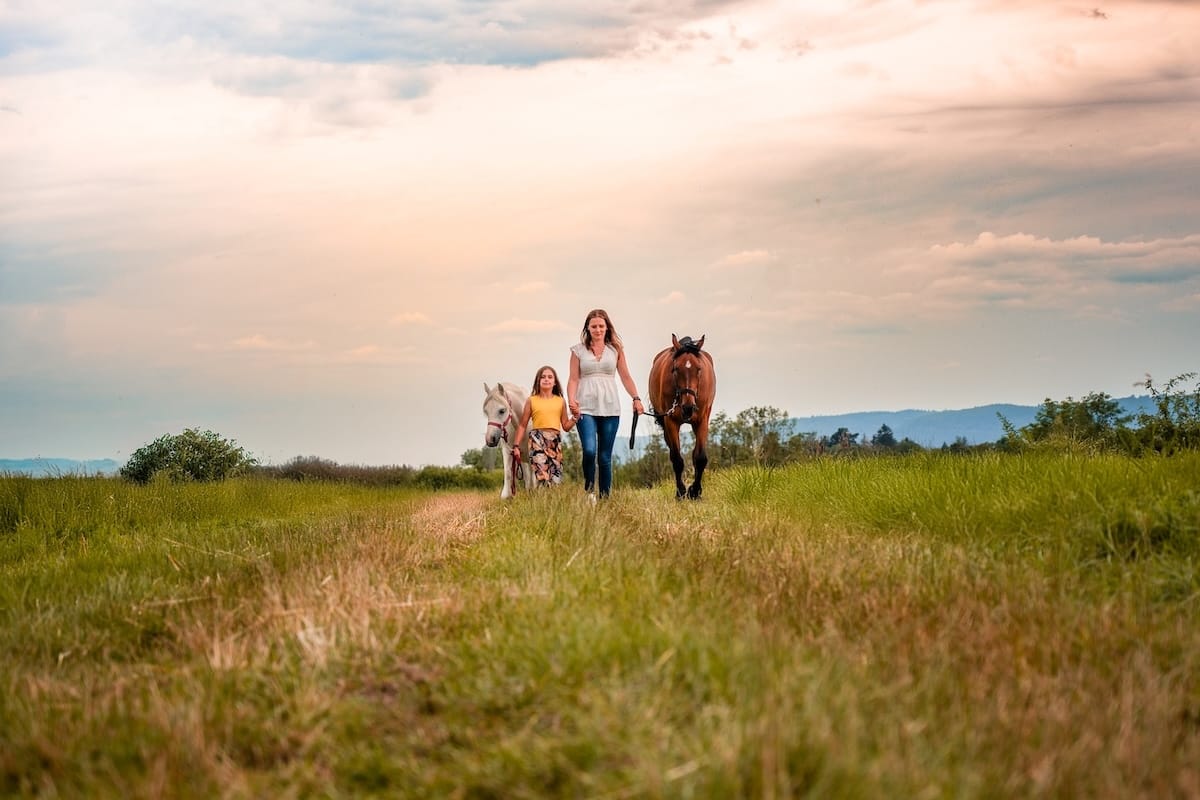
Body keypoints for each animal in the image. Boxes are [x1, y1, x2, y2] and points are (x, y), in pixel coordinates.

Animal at [647, 334, 716, 499]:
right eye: (676, 369)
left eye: (699, 369)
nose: (688, 407)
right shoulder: (670, 421)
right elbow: (677, 459)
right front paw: (681, 491)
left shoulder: (702, 421)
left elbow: (700, 457)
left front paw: (695, 491)